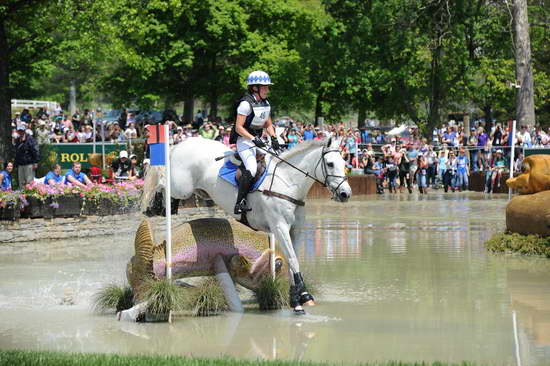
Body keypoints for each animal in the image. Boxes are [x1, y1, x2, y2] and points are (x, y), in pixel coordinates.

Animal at [143, 137, 354, 314]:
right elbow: (293, 260)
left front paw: (298, 297)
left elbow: (292, 259)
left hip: (199, 192)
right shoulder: (279, 227)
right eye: (330, 164)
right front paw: (301, 299)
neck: (289, 184)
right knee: (162, 182)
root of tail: (181, 143)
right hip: (182, 187)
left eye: (344, 164)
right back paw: (153, 205)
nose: (345, 194)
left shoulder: (295, 230)